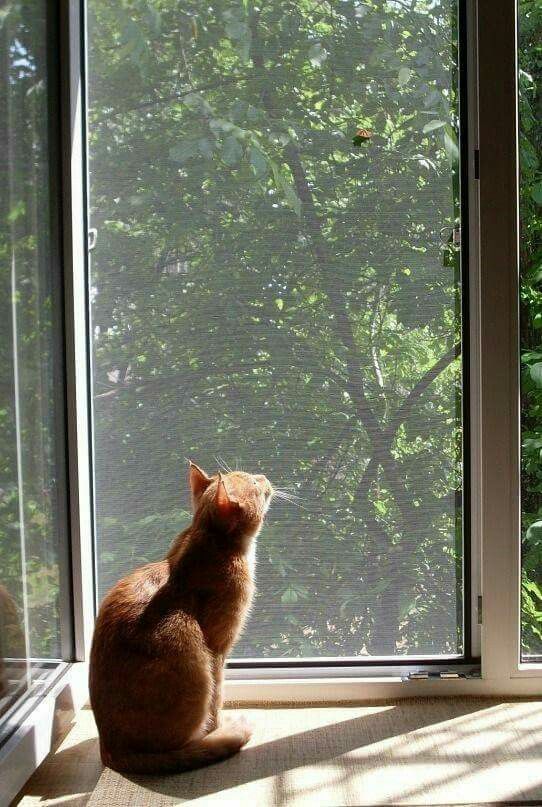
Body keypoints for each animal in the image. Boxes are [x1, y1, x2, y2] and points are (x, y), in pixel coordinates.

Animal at [91, 468, 274, 776]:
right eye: (252, 481)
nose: (263, 475)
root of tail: (110, 750)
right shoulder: (218, 650)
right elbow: (217, 699)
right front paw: (217, 728)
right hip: (188, 641)